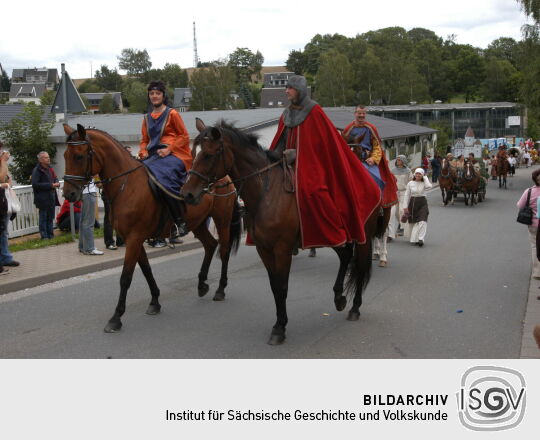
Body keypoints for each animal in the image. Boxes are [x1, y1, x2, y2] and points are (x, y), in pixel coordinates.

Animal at [62, 122, 242, 332]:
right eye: (65, 155)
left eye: (79, 156)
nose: (68, 194)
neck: (127, 186)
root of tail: (225, 177)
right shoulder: (134, 239)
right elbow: (146, 270)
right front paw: (155, 301)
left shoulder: (134, 239)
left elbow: (126, 277)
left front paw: (116, 318)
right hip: (197, 223)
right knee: (211, 245)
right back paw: (201, 284)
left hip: (222, 220)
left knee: (224, 250)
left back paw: (220, 289)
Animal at [181, 118, 384, 346]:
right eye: (193, 151)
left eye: (209, 154)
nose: (187, 194)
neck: (267, 193)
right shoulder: (264, 248)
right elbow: (275, 286)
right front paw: (279, 324)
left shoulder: (282, 249)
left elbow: (283, 287)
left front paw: (280, 328)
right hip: (330, 235)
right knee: (346, 255)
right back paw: (339, 297)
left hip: (361, 236)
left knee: (360, 266)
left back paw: (355, 307)